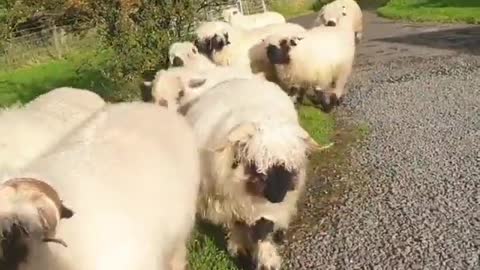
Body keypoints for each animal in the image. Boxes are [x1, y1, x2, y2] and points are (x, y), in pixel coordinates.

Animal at [180, 76, 330, 270]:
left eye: (290, 166)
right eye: (255, 163)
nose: (277, 196)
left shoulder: (267, 207)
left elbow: (263, 228)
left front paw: (266, 261)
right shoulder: (232, 200)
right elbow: (237, 224)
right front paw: (240, 249)